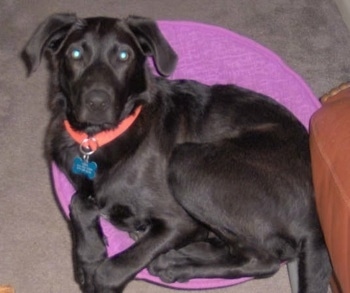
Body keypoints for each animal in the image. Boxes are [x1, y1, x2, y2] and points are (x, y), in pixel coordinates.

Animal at [23, 13, 330, 292]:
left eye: (123, 55)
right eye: (75, 53)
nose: (97, 102)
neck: (99, 138)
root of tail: (316, 219)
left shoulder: (179, 221)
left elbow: (112, 269)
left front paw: (98, 271)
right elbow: (78, 201)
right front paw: (90, 255)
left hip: (187, 163)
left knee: (264, 259)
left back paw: (175, 263)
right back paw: (174, 255)